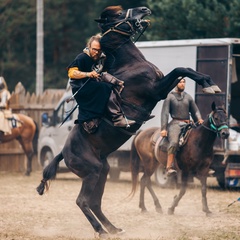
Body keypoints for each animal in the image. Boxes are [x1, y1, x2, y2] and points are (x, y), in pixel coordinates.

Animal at [37, 5, 221, 238]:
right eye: (117, 15)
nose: (143, 9)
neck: (131, 64)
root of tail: (64, 152)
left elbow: (184, 69)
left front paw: (209, 82)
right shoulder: (156, 89)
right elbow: (181, 69)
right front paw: (209, 84)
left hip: (102, 171)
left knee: (95, 202)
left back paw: (113, 228)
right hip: (91, 172)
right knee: (83, 201)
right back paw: (101, 230)